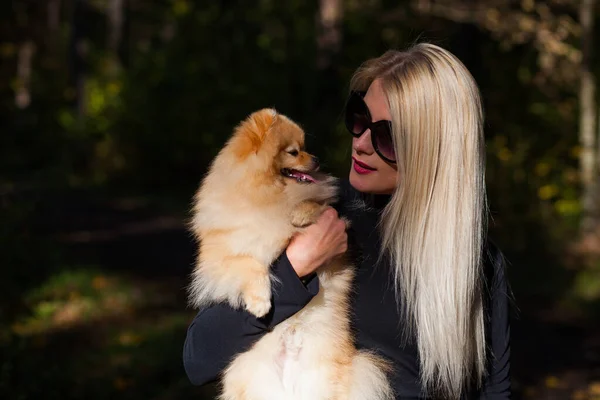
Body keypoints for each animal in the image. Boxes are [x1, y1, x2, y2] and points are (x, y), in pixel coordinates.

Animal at [190, 109, 392, 400]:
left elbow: (315, 204)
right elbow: (249, 264)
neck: (267, 197)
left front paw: (299, 213)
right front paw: (260, 302)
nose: (316, 159)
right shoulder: (220, 256)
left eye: (305, 147)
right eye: (294, 152)